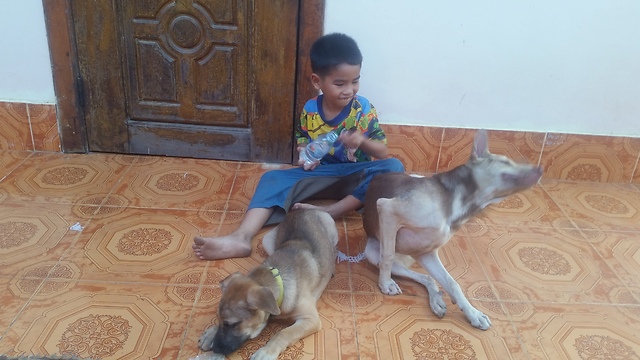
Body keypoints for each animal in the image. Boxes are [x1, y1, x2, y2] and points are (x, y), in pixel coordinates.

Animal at [199, 208, 340, 360]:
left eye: (234, 324)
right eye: (219, 320)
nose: (215, 348)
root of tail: (302, 208)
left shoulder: (311, 319)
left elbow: (283, 333)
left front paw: (266, 351)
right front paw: (211, 333)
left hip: (332, 229)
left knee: (334, 249)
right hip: (266, 240)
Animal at [362, 129, 544, 330]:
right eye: (505, 162)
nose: (540, 170)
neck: (461, 206)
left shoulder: (426, 253)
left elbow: (453, 284)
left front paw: (473, 313)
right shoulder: (387, 209)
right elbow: (387, 257)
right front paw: (385, 283)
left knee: (428, 279)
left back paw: (436, 300)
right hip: (372, 252)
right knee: (392, 261)